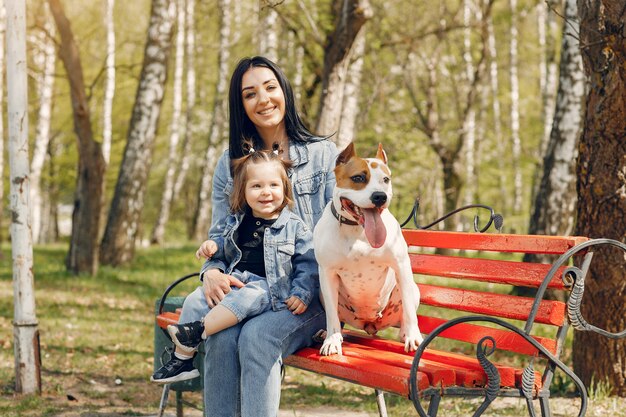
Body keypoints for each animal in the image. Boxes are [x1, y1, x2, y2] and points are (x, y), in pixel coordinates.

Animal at [314, 141, 422, 354]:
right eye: (358, 178)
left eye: (386, 179)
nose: (379, 196)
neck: (357, 229)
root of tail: (369, 324)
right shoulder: (327, 273)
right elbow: (331, 315)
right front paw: (332, 340)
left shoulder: (401, 265)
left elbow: (409, 310)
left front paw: (413, 337)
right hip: (323, 293)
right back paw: (329, 334)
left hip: (412, 289)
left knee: (406, 310)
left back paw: (405, 333)